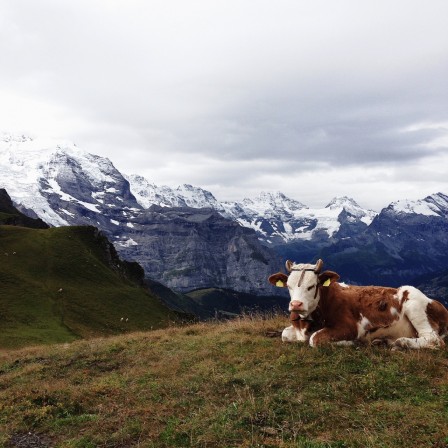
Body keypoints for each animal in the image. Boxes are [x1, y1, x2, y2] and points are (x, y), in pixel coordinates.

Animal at [270, 260, 448, 350]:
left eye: (311, 286)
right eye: (288, 286)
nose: (296, 304)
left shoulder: (350, 327)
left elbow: (314, 339)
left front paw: (352, 343)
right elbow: (284, 334)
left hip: (414, 302)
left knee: (434, 340)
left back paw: (401, 342)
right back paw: (383, 341)